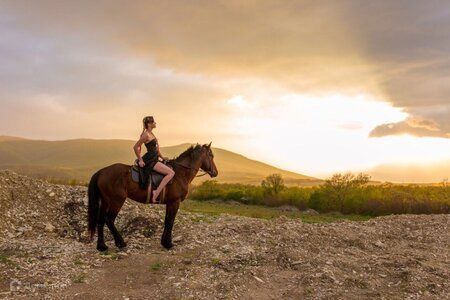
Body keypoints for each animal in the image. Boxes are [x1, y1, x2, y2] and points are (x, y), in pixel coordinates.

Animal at [87, 142, 218, 250]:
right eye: (211, 156)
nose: (215, 172)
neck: (180, 173)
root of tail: (102, 172)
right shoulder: (175, 202)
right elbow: (171, 221)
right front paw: (168, 244)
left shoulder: (170, 203)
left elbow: (167, 221)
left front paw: (164, 242)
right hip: (117, 201)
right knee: (109, 220)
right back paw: (121, 243)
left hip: (105, 201)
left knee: (101, 220)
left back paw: (102, 246)